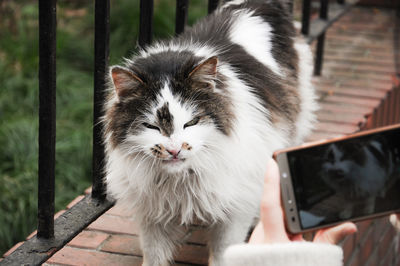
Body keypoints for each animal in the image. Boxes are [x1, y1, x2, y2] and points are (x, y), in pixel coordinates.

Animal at [103, 1, 318, 264]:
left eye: (192, 122)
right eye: (151, 126)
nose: (174, 150)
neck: (179, 181)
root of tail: (259, 4)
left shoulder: (235, 209)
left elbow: (223, 252)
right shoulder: (151, 215)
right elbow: (154, 254)